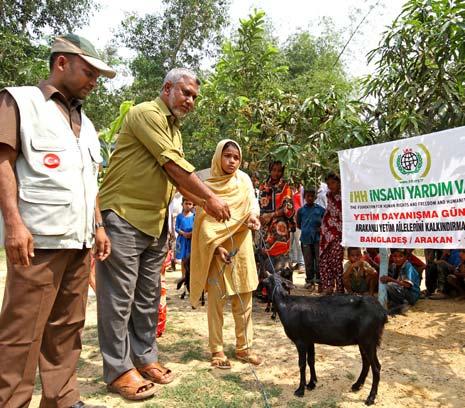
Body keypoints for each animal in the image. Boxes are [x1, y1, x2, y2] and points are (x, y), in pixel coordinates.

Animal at [262, 272, 386, 404]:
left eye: (266, 283)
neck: (286, 305)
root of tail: (382, 313)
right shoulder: (309, 339)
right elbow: (311, 360)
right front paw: (312, 384)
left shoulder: (300, 341)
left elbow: (302, 364)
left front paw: (300, 390)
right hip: (362, 341)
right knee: (366, 362)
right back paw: (357, 385)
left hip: (369, 340)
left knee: (376, 367)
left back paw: (371, 397)